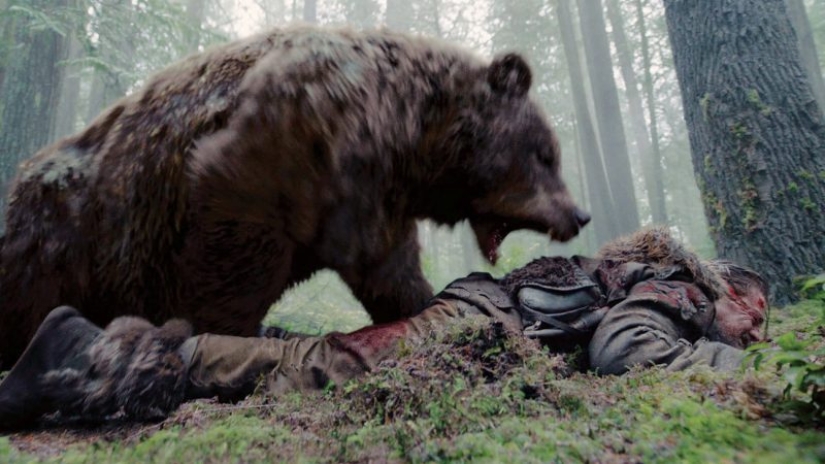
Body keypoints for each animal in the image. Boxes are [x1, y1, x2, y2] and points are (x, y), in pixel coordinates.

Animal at [0, 25, 589, 368]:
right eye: (547, 153)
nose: (579, 213)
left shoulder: (368, 188)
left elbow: (379, 258)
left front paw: (417, 300)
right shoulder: (285, 149)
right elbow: (231, 254)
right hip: (59, 239)